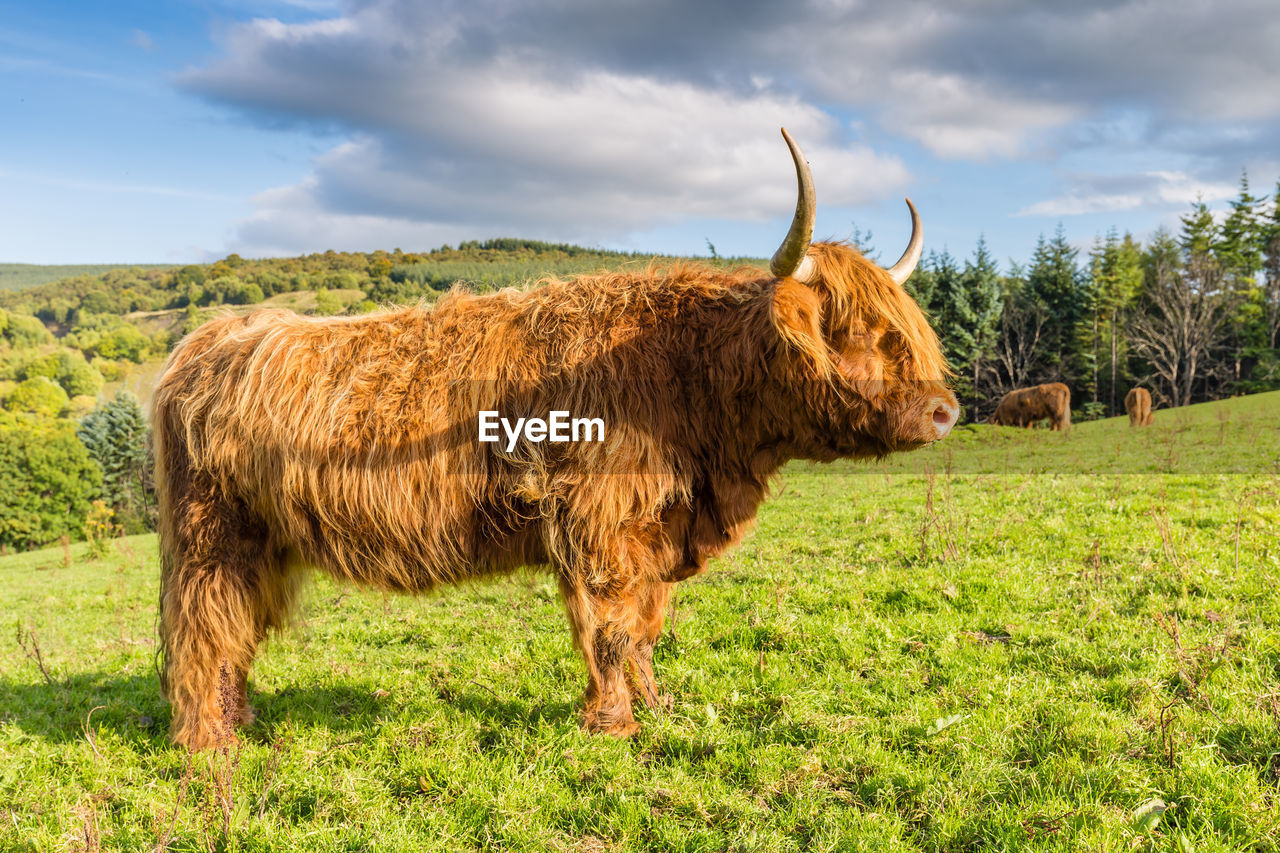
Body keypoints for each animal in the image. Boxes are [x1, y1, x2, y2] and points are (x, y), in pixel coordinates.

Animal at [152, 129, 962, 747]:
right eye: (854, 330)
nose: (944, 410)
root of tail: (207, 340)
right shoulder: (596, 524)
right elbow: (609, 626)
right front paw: (613, 723)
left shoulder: (655, 528)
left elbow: (644, 624)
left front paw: (657, 707)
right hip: (210, 532)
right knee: (203, 626)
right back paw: (209, 740)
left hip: (261, 541)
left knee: (236, 627)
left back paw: (241, 718)